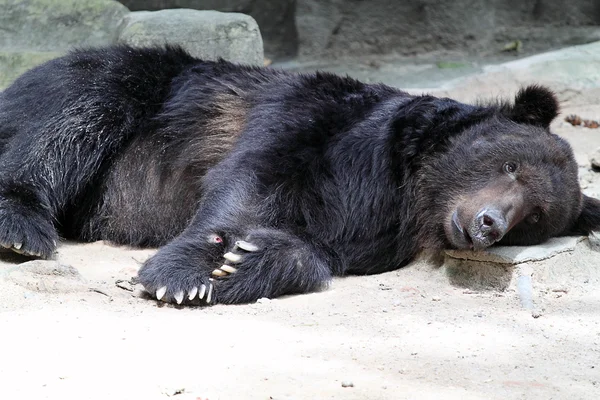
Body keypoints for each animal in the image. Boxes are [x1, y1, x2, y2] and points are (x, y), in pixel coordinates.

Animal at [1, 45, 600, 304]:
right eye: (509, 165)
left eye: (536, 217)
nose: (487, 224)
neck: (409, 185)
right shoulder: (321, 120)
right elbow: (252, 178)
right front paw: (188, 273)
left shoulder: (375, 226)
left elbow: (318, 248)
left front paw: (246, 263)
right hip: (141, 90)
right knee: (79, 110)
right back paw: (22, 228)